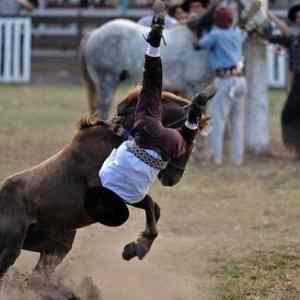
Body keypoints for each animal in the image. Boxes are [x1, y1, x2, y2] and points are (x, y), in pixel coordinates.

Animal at [0, 89, 195, 278]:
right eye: (184, 142)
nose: (173, 179)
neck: (117, 140)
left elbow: (154, 208)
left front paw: (134, 247)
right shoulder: (114, 193)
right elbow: (149, 203)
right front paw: (138, 248)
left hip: (57, 248)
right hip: (11, 249)